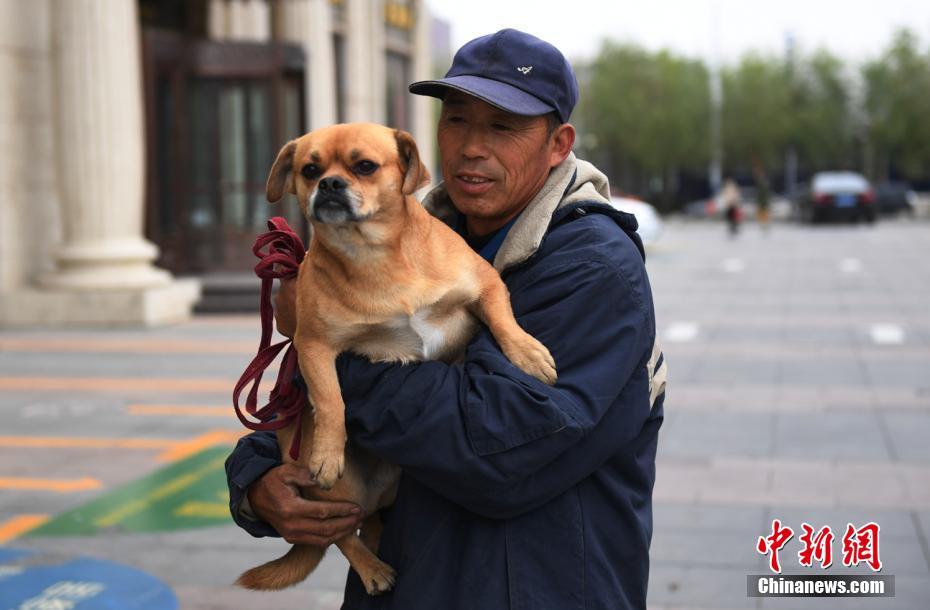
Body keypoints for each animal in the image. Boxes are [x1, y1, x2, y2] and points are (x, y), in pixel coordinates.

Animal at [236, 123, 556, 592]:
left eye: (365, 166)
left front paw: (528, 353)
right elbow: (330, 399)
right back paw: (373, 569)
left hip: (393, 485)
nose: (329, 184)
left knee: (369, 522)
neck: (374, 256)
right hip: (341, 494)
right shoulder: (313, 346)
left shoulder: (485, 285)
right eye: (309, 170)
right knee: (342, 535)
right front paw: (327, 451)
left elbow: (503, 319)